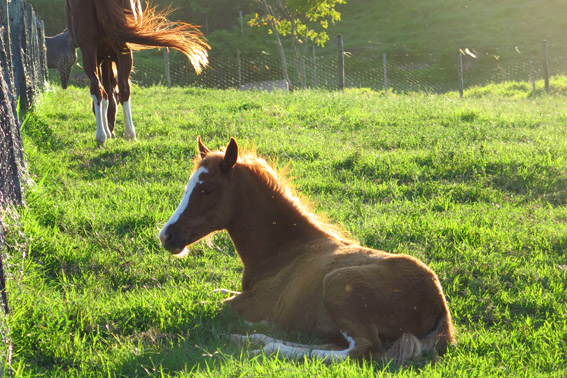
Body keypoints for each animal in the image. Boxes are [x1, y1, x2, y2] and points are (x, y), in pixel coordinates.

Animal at [66, 0, 209, 145]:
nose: (112, 131)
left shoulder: (103, 58)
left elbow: (107, 95)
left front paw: (108, 132)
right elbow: (109, 95)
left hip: (97, 49)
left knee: (101, 88)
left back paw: (104, 136)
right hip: (115, 49)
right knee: (120, 87)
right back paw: (126, 135)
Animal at [160, 137, 458, 362]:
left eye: (207, 189)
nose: (166, 236)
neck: (285, 251)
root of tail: (439, 303)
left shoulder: (254, 301)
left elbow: (208, 305)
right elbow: (215, 292)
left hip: (339, 284)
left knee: (361, 351)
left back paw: (264, 343)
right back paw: (256, 336)